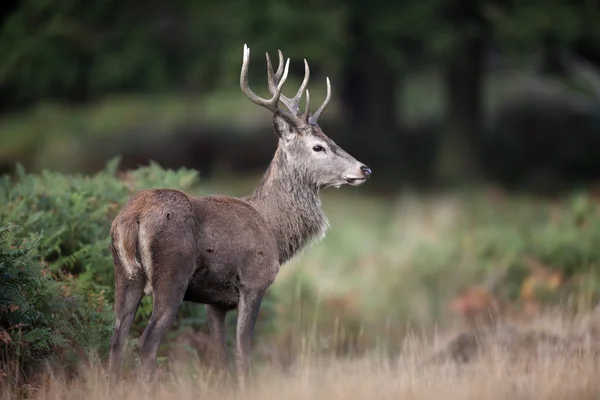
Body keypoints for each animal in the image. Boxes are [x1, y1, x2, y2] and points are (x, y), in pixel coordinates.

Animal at [106, 43, 372, 388]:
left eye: (332, 140)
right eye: (318, 147)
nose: (364, 169)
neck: (273, 230)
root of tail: (132, 217)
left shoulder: (215, 301)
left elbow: (220, 357)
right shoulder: (254, 280)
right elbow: (243, 352)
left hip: (124, 273)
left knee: (117, 338)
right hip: (172, 272)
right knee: (147, 342)